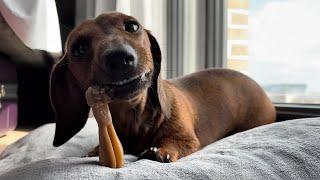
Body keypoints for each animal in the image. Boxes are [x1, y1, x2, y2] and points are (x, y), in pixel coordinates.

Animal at [51, 11, 276, 162]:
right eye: (79, 49)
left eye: (132, 26)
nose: (119, 57)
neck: (134, 116)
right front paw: (96, 150)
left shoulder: (186, 139)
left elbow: (172, 143)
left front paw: (159, 151)